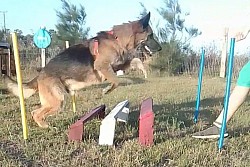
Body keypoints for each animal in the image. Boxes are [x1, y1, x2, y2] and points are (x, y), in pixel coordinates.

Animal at [6, 12, 162, 128]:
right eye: (151, 35)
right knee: (35, 113)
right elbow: (117, 81)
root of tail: (40, 74)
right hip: (57, 100)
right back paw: (46, 127)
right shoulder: (103, 66)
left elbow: (135, 62)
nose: (160, 48)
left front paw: (143, 70)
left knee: (35, 111)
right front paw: (107, 90)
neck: (117, 39)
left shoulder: (117, 65)